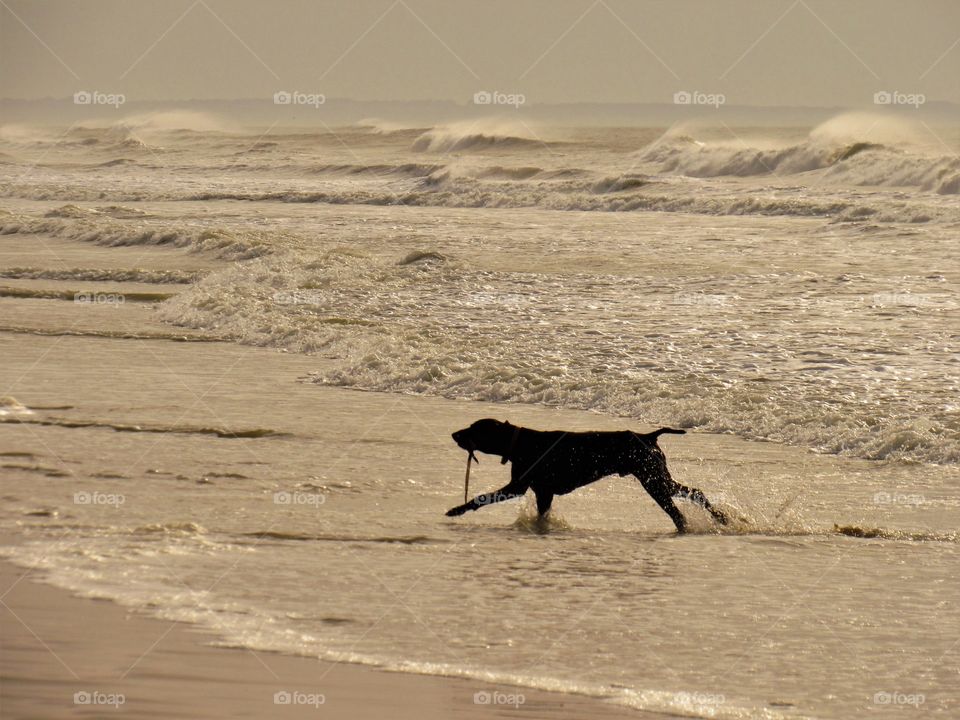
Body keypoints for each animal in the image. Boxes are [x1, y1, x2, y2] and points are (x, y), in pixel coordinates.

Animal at [448, 420, 728, 532]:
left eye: (473, 428)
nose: (453, 434)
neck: (520, 443)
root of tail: (649, 436)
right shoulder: (543, 493)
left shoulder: (518, 487)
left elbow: (480, 498)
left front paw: (457, 509)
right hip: (659, 480)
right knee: (694, 494)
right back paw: (720, 518)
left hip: (654, 482)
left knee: (680, 508)